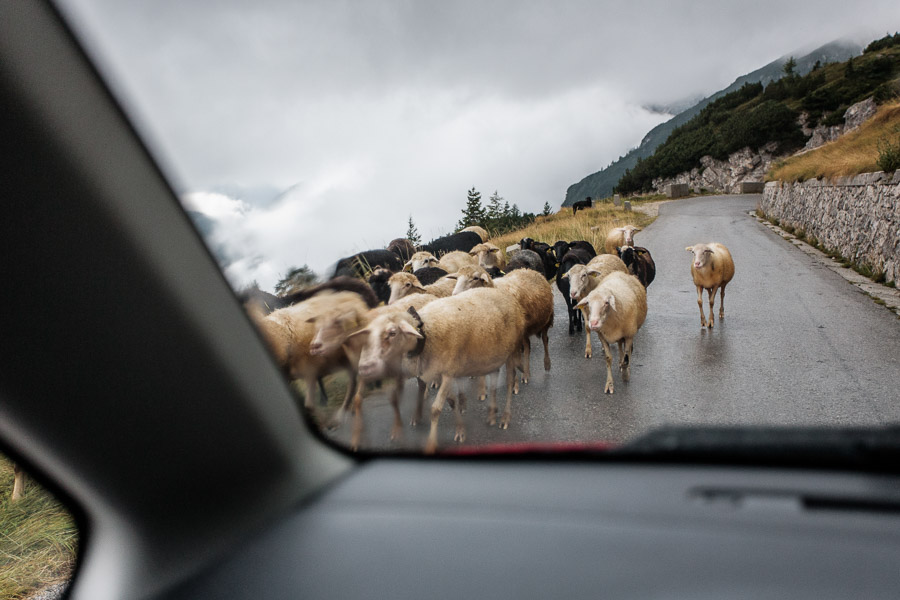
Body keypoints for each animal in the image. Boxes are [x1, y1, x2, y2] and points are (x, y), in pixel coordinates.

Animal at [348, 288, 524, 452]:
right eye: (369, 336)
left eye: (392, 333)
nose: (365, 367)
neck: (425, 333)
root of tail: (504, 293)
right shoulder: (440, 371)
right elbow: (451, 402)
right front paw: (460, 429)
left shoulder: (447, 373)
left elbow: (435, 409)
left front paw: (432, 444)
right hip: (493, 353)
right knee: (494, 379)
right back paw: (492, 414)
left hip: (513, 350)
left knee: (509, 382)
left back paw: (505, 418)